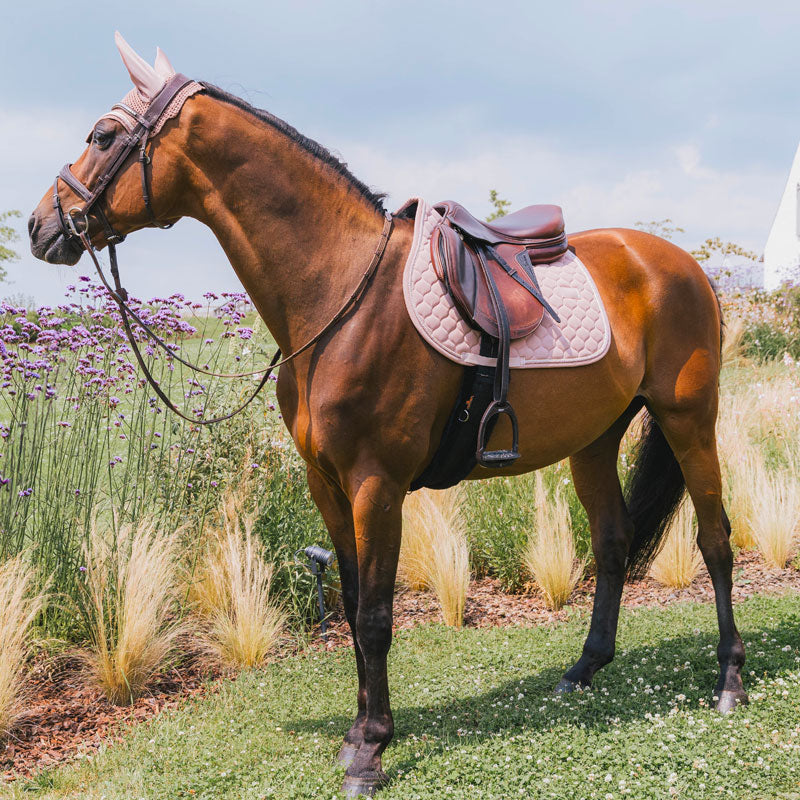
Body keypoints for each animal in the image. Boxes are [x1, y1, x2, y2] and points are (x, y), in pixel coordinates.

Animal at [28, 39, 748, 800]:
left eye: (103, 136)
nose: (40, 225)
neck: (341, 294)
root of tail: (681, 265)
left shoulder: (377, 484)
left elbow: (375, 615)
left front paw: (372, 748)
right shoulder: (327, 485)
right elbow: (348, 604)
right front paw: (357, 731)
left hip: (689, 420)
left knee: (716, 540)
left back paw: (729, 678)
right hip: (595, 440)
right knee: (612, 544)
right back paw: (583, 669)